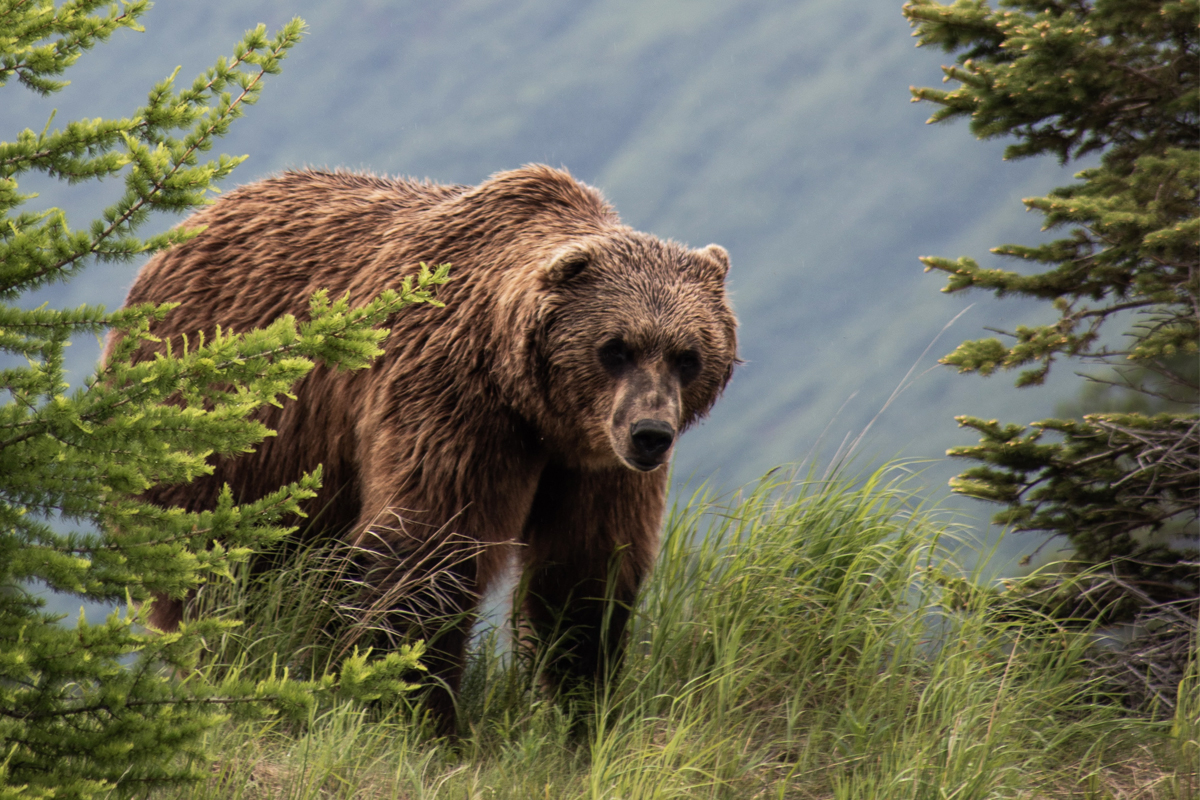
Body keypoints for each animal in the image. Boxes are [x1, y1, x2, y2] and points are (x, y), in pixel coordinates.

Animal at [108, 164, 734, 734]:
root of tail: (189, 225)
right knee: (219, 571)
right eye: (615, 347)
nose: (650, 433)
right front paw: (417, 713)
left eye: (688, 355)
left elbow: (585, 572)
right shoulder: (453, 402)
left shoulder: (594, 462)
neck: (533, 405)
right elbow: (428, 550)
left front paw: (579, 710)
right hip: (224, 432)